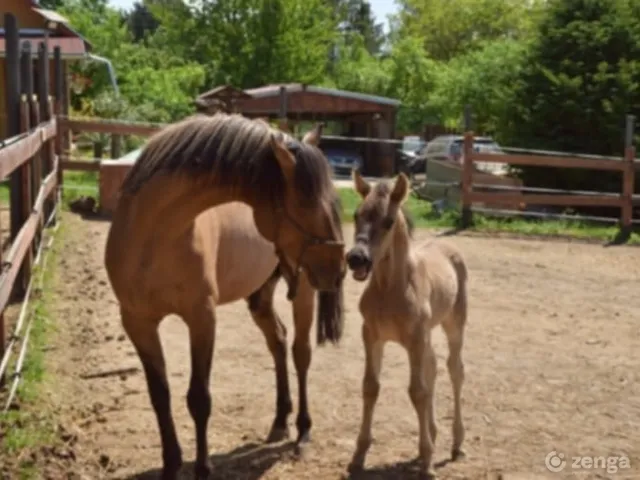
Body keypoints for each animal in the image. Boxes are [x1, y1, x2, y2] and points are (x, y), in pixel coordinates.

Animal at [105, 114, 344, 478]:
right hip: (261, 295)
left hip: (304, 287)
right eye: (305, 202)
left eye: (331, 198)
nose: (339, 268)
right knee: (278, 341)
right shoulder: (137, 323)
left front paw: (203, 468)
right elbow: (159, 395)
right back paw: (280, 420)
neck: (155, 236)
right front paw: (171, 465)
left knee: (300, 352)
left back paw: (303, 431)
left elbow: (199, 399)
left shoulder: (202, 318)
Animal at [344, 172, 470, 476]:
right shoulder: (372, 335)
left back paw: (456, 443)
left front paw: (427, 461)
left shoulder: (414, 339)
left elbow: (418, 391)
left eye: (388, 221)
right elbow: (371, 387)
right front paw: (358, 455)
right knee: (433, 366)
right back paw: (435, 435)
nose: (356, 258)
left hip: (454, 324)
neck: (390, 289)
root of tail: (449, 246)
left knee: (455, 370)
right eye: (356, 215)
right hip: (427, 335)